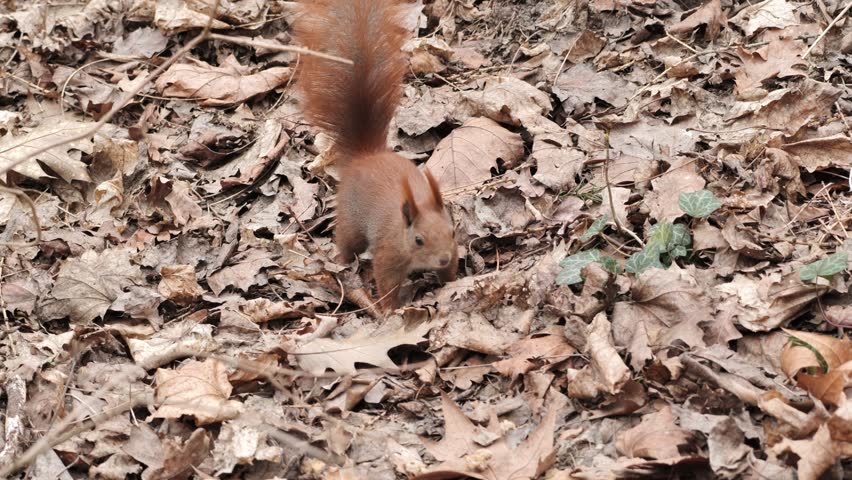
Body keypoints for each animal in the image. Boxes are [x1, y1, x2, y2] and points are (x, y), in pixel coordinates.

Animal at [293, 0, 457, 311]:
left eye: (452, 232)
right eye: (418, 240)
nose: (443, 257)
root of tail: (365, 156)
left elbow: (449, 274)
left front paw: (452, 283)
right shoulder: (389, 254)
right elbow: (386, 282)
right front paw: (390, 310)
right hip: (351, 220)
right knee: (347, 242)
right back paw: (341, 259)